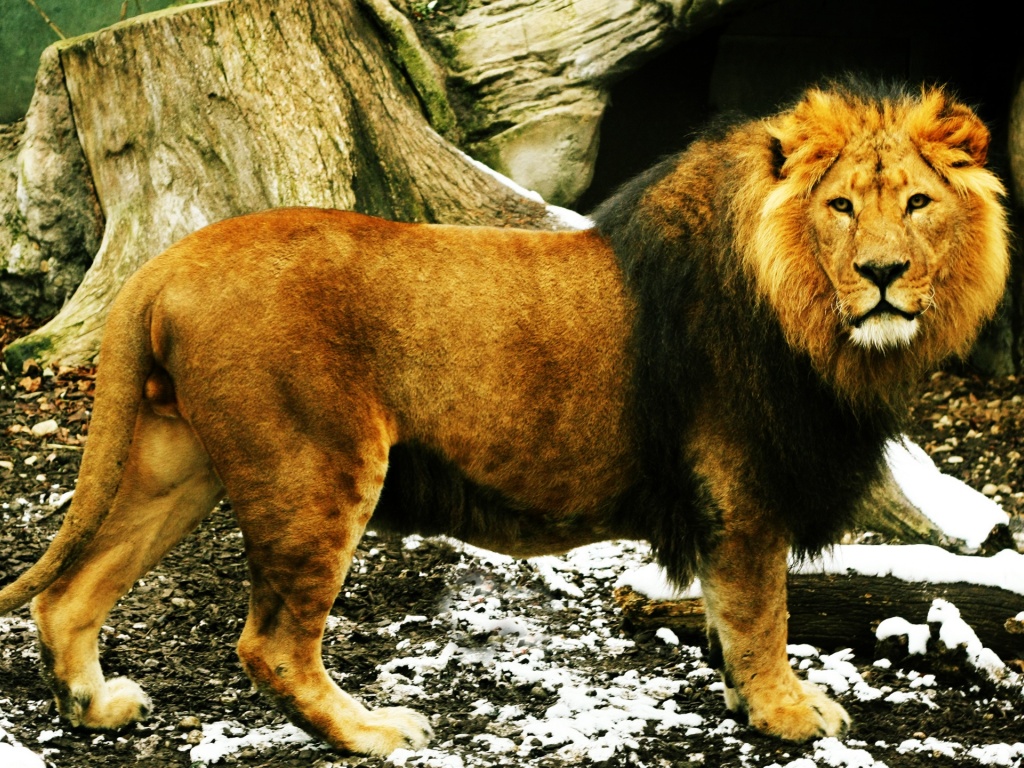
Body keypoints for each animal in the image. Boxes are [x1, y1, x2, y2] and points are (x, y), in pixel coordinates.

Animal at [0, 80, 1009, 756]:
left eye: (918, 203)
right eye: (839, 207)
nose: (883, 273)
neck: (811, 315)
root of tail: (165, 262)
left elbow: (731, 613)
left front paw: (742, 698)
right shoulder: (741, 482)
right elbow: (763, 611)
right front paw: (788, 715)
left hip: (180, 460)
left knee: (67, 594)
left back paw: (95, 707)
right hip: (314, 468)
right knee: (271, 645)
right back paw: (372, 733)